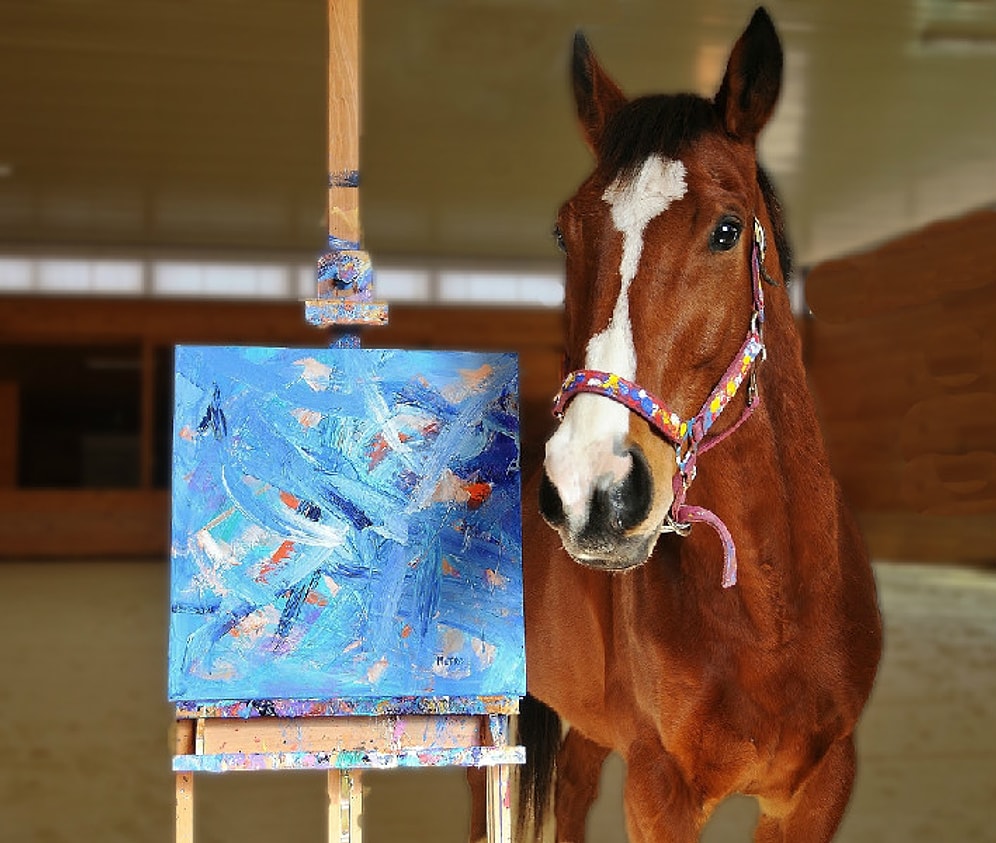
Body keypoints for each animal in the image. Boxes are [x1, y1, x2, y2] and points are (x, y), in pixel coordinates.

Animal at [470, 6, 884, 843]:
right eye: (565, 232)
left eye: (727, 230)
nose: (590, 490)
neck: (772, 615)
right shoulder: (659, 791)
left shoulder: (819, 790)